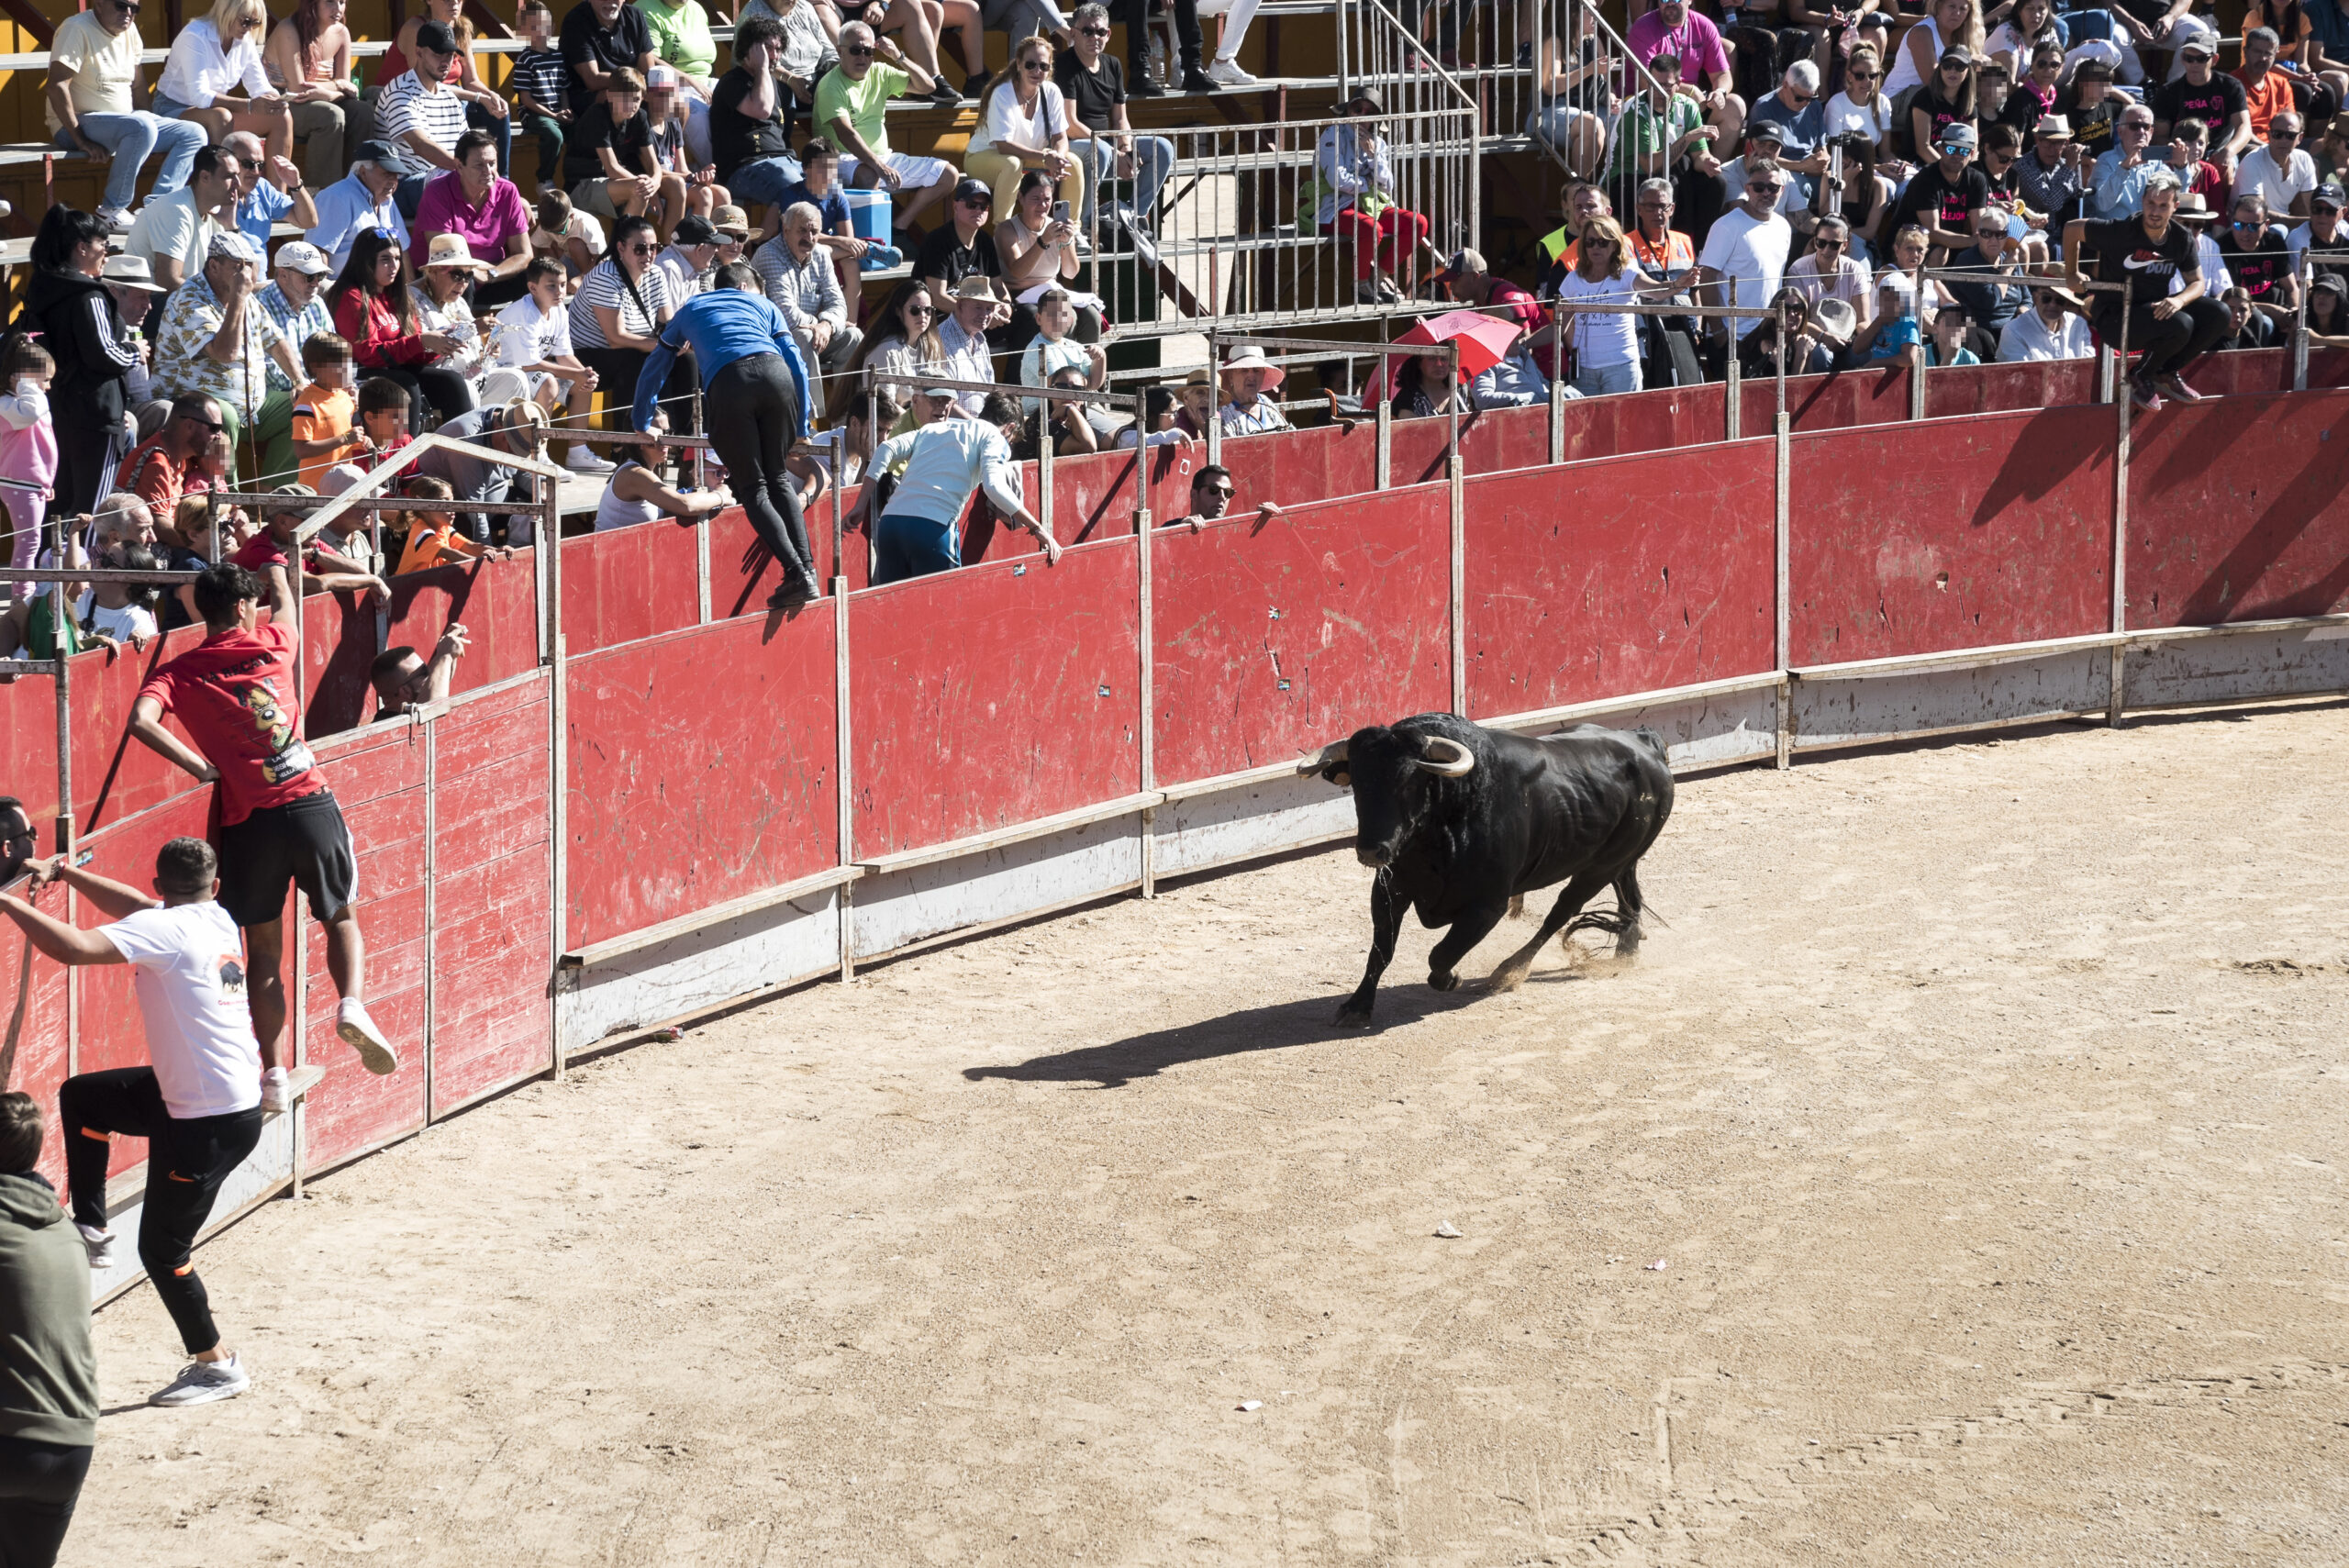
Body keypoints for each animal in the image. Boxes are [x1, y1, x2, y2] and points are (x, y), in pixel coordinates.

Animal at [1306, 717, 1672, 1023]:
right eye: (1357, 784)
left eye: (1409, 783)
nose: (1371, 851)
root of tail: (1646, 743)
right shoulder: (1389, 891)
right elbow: (1381, 951)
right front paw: (1356, 1007)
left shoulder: (1487, 906)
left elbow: (1441, 954)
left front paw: (1451, 979)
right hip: (1619, 858)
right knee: (1628, 895)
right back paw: (1628, 949)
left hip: (1596, 869)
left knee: (1561, 913)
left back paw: (1509, 972)